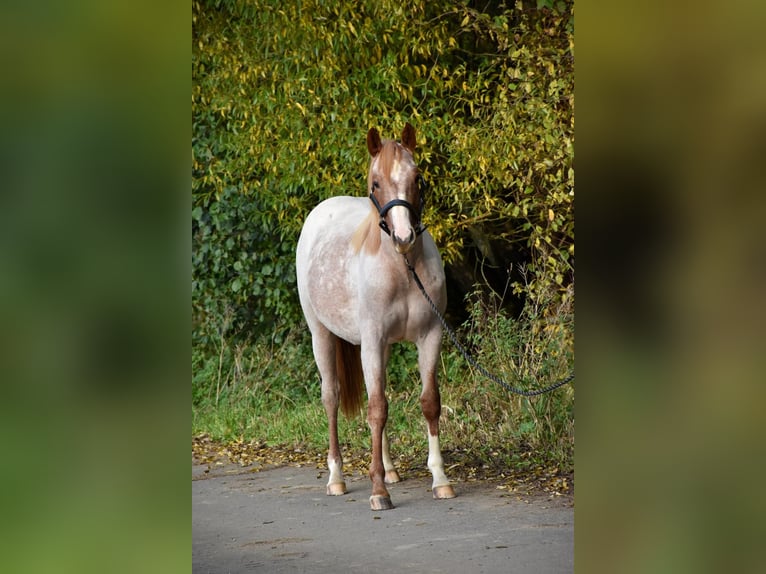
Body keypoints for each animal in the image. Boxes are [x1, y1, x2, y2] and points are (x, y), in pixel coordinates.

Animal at [295, 123, 456, 511]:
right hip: (322, 336)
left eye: (416, 177)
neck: (403, 268)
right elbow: (376, 409)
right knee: (332, 398)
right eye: (376, 183)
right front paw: (378, 490)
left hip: (380, 349)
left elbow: (427, 403)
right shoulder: (370, 340)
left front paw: (440, 479)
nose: (403, 236)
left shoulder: (429, 336)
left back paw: (390, 469)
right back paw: (336, 478)